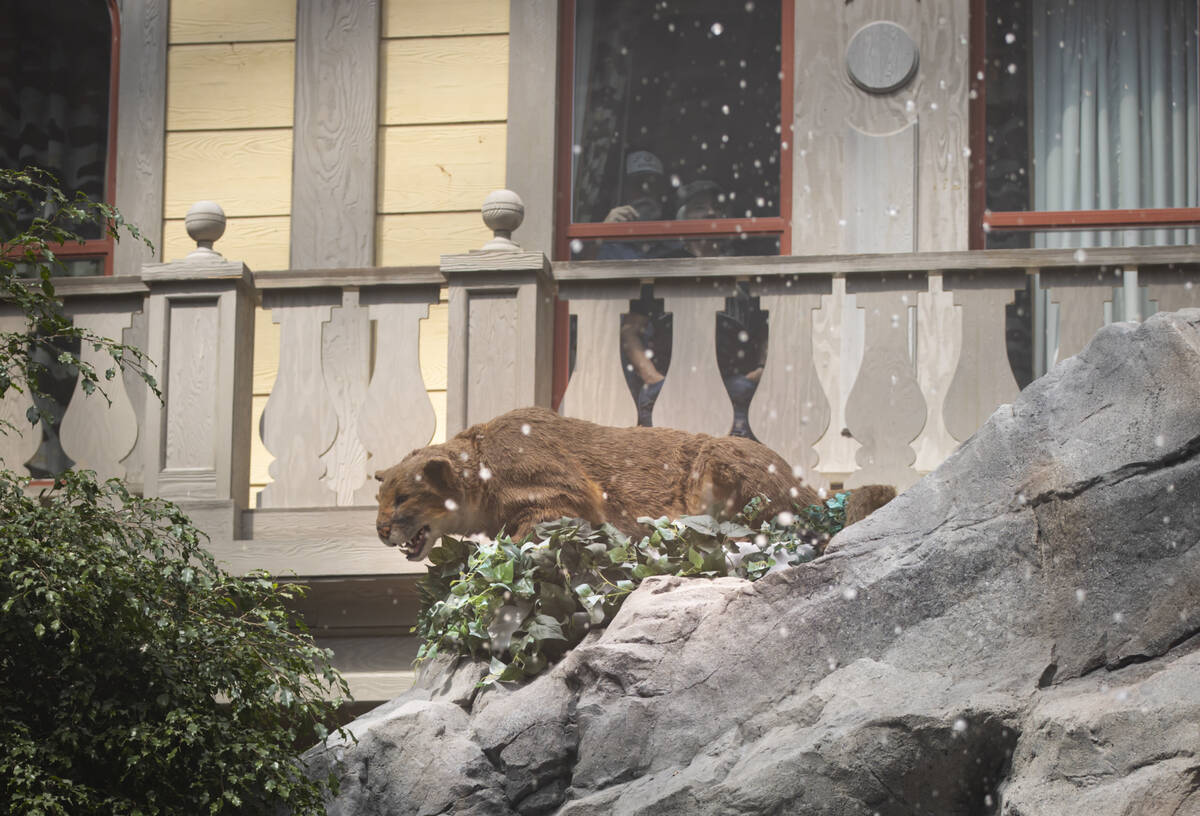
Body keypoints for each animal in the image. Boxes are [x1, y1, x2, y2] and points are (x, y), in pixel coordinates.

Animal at [374, 406, 822, 560]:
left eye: (403, 497)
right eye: (379, 499)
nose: (380, 529)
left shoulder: (570, 493)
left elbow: (525, 536)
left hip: (715, 458)